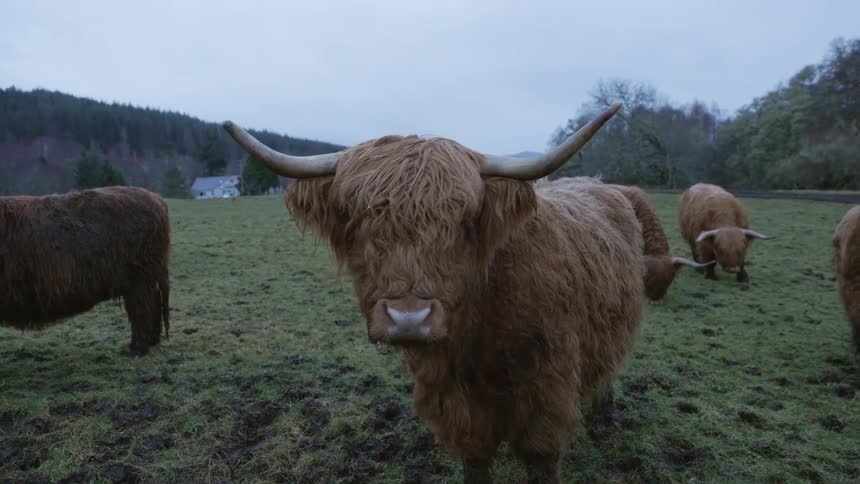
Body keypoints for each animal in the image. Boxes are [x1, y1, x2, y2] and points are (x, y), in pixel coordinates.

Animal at [0, 186, 170, 355]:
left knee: (142, 309)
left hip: (140, 279)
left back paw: (138, 349)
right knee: (153, 303)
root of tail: (155, 197)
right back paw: (152, 341)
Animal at [224, 103, 645, 483]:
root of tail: (595, 182)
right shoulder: (456, 401)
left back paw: (606, 415)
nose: (409, 318)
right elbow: (475, 458)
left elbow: (541, 458)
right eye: (357, 220)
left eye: (463, 221)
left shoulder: (547, 392)